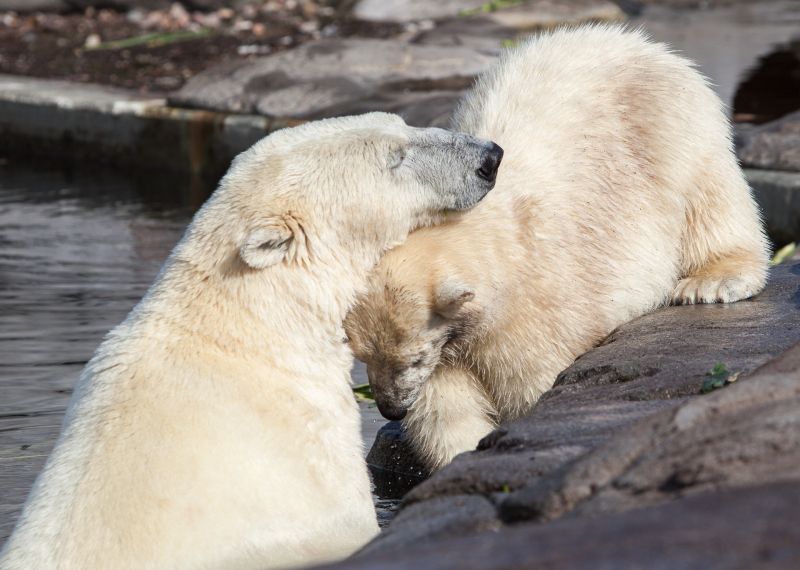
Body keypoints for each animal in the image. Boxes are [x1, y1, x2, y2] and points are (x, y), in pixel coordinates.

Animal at [344, 26, 768, 468]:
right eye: (362, 354)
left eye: (412, 357)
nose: (391, 408)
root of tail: (636, 41)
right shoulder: (449, 342)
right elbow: (445, 407)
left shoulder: (536, 303)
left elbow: (532, 378)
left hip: (674, 131)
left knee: (710, 200)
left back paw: (711, 282)